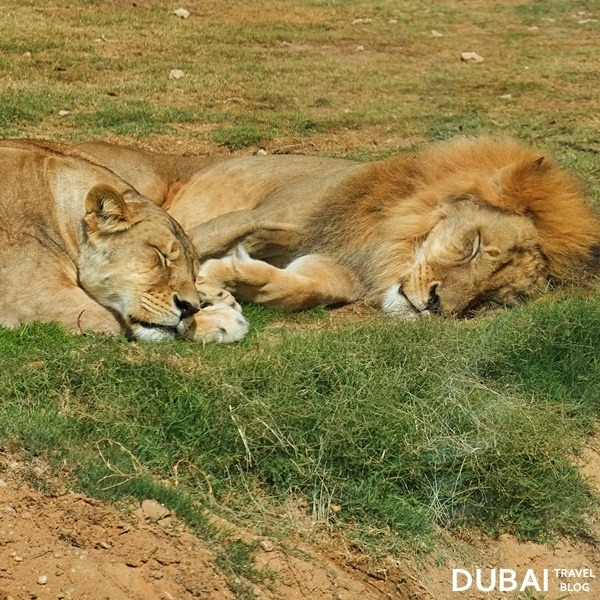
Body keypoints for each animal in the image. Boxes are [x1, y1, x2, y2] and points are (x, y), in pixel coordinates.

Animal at [79, 136, 600, 318]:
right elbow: (191, 239)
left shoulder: (333, 270)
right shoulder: (255, 216)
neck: (380, 243)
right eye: (473, 245)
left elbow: (297, 289)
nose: (437, 306)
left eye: (492, 298)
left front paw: (224, 278)